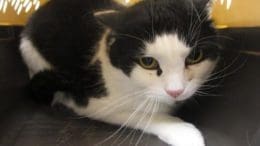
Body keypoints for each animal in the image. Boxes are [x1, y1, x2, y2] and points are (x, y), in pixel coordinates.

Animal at [19, 0, 220, 146]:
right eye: (148, 62)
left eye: (194, 56)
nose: (176, 91)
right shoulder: (92, 102)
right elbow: (139, 114)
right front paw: (184, 133)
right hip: (30, 52)